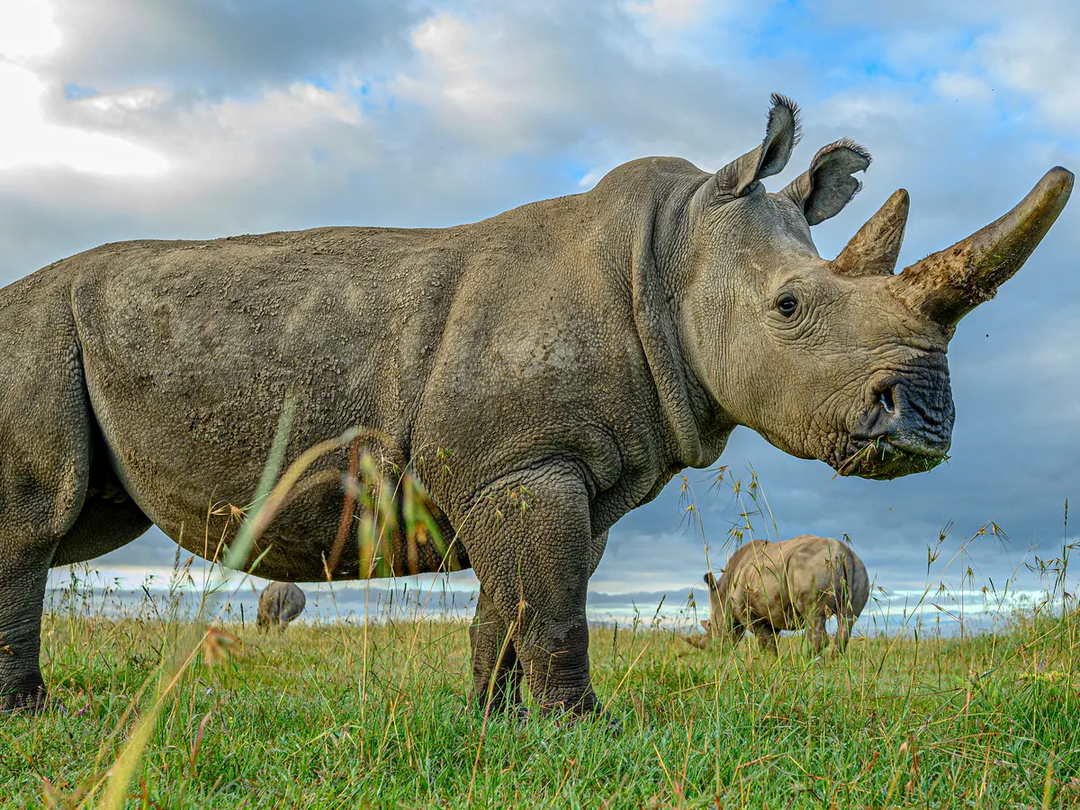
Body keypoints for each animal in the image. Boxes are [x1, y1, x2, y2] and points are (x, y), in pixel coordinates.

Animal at [686, 535, 872, 656]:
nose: (714, 651)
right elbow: (770, 639)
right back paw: (834, 662)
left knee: (814, 615)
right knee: (848, 619)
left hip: (814, 568)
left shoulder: (747, 612)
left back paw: (811, 663)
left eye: (710, 626)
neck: (723, 595)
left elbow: (765, 640)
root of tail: (842, 552)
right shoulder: (771, 610)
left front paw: (768, 663)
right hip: (859, 568)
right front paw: (773, 662)